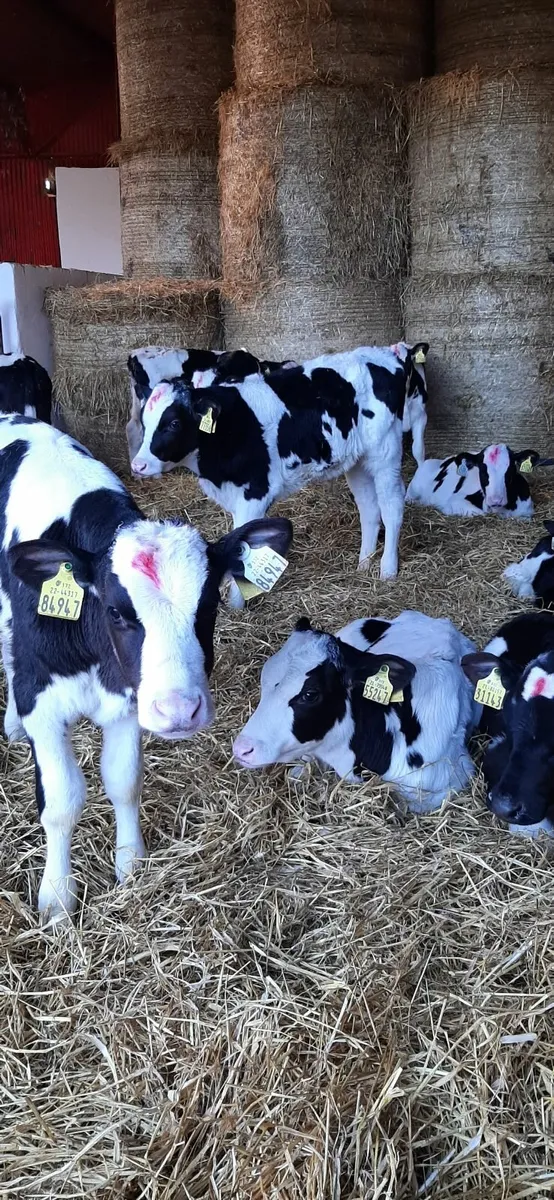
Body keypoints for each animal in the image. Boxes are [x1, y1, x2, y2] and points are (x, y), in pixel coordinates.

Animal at [0, 413, 292, 923]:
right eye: (117, 612)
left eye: (210, 603)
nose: (179, 711)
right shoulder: (42, 701)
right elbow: (61, 801)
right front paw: (57, 897)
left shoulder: (127, 702)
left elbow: (124, 781)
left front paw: (131, 863)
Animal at [129, 344, 429, 603]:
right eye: (144, 421)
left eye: (173, 423)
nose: (139, 465)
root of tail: (384, 354)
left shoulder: (254, 494)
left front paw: (237, 603)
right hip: (357, 461)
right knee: (369, 509)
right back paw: (363, 564)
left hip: (385, 452)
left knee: (391, 507)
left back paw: (387, 570)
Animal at [406, 444, 540, 518]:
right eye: (482, 470)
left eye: (511, 469)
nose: (496, 500)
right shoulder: (454, 502)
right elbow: (480, 513)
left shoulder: (527, 510)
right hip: (413, 490)